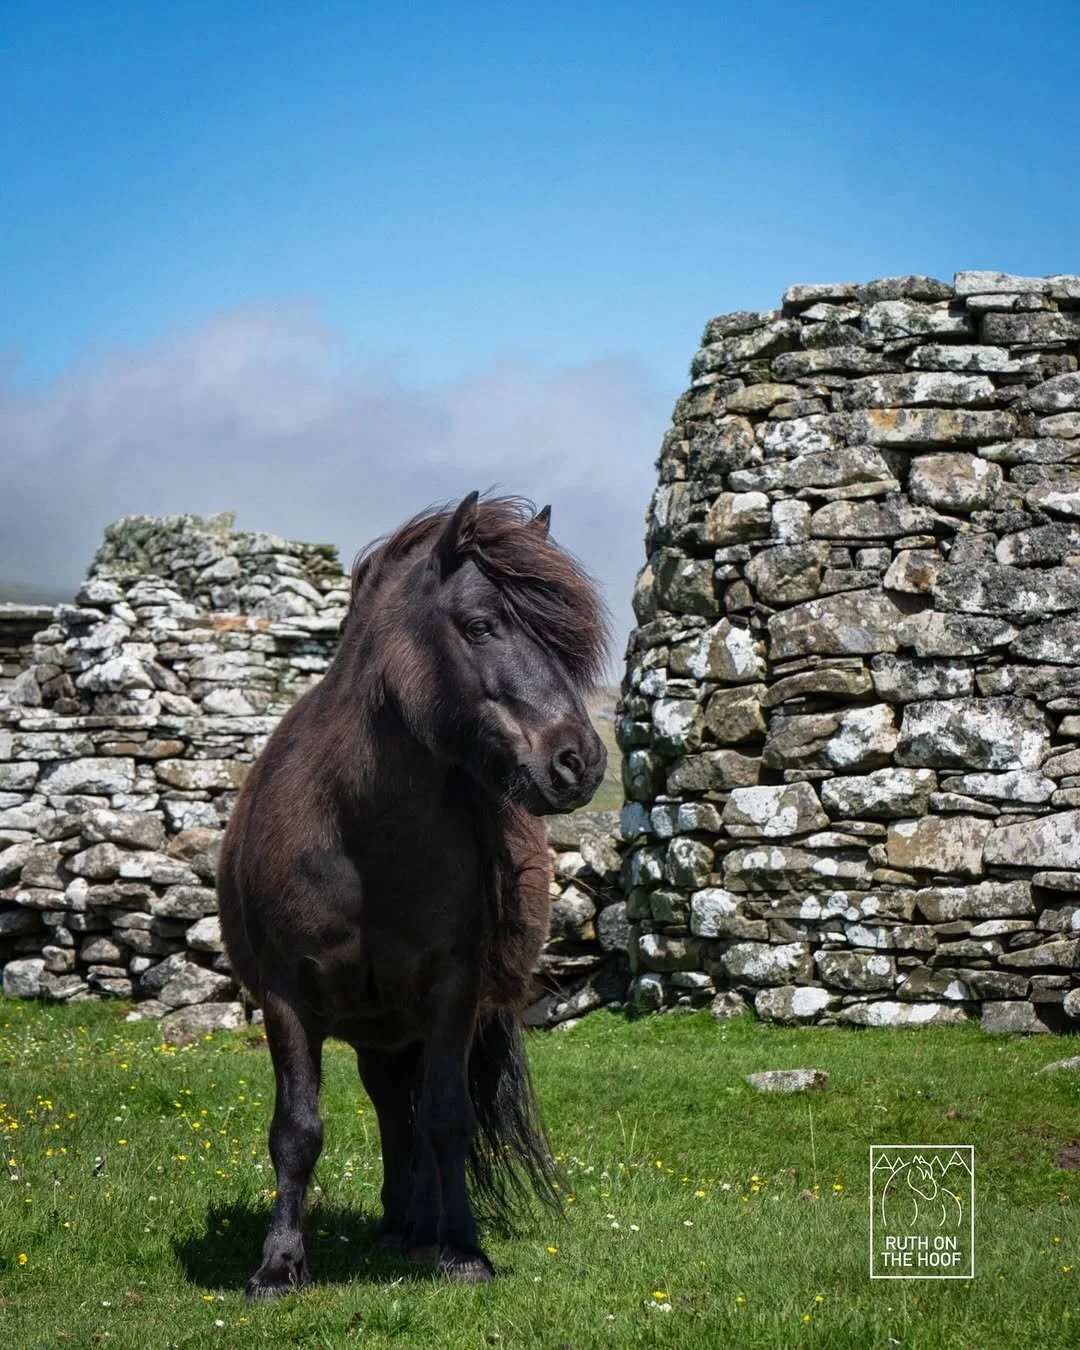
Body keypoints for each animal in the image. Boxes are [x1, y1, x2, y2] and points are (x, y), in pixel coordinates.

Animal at [217, 492, 609, 1297]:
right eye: (482, 625)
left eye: (562, 642)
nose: (579, 763)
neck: (361, 837)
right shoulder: (284, 996)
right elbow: (296, 1130)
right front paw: (278, 1265)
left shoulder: (452, 993)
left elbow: (446, 1120)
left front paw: (461, 1249)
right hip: (375, 1027)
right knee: (387, 1108)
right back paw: (399, 1227)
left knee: (414, 1114)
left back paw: (422, 1232)